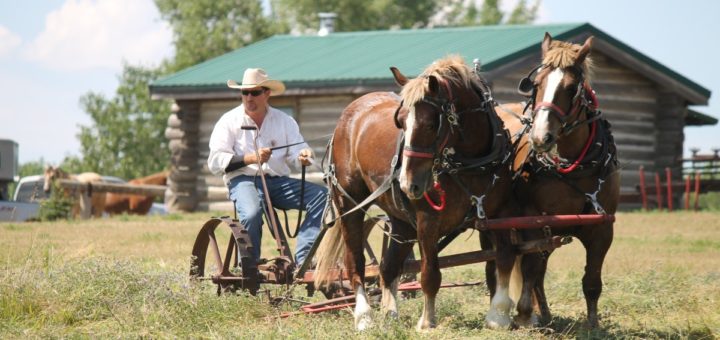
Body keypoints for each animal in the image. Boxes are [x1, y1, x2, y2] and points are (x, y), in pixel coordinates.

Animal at [316, 56, 524, 332]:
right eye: (401, 121)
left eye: (430, 124)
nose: (407, 183)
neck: (470, 161)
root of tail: (350, 113)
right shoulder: (428, 220)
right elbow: (430, 274)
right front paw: (427, 321)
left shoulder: (500, 214)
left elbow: (504, 259)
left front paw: (498, 315)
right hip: (350, 204)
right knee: (355, 263)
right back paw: (364, 316)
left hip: (401, 220)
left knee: (388, 267)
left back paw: (390, 314)